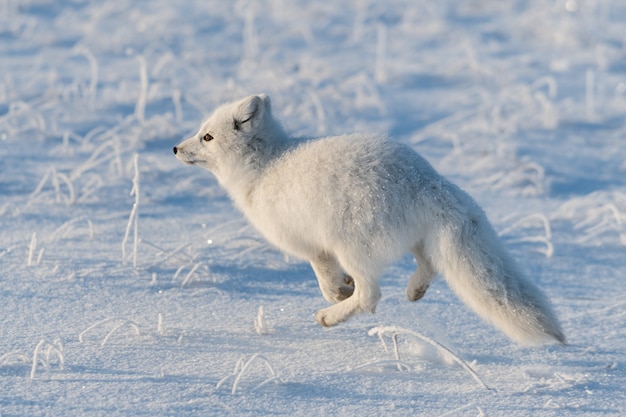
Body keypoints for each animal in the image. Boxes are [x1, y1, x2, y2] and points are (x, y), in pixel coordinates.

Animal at [172, 94, 564, 344]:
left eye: (207, 137)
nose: (175, 148)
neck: (266, 165)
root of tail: (426, 179)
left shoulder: (312, 245)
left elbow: (323, 276)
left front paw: (336, 293)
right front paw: (341, 288)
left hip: (353, 245)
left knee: (371, 295)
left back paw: (329, 317)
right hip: (418, 239)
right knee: (428, 266)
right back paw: (414, 291)